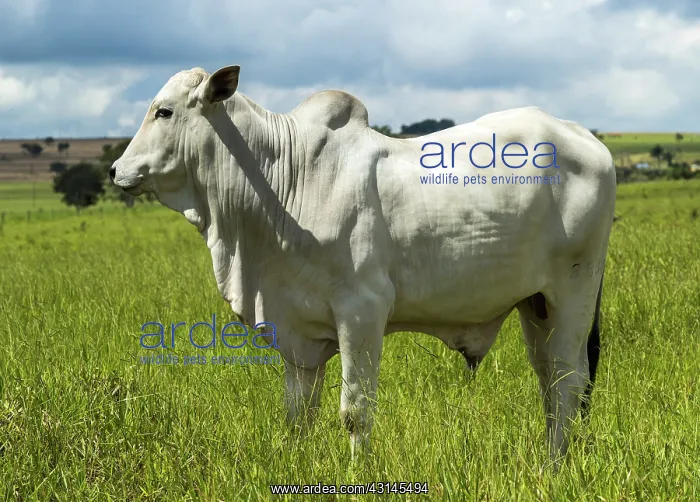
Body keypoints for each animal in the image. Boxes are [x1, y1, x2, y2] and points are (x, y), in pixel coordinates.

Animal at [111, 65, 616, 462]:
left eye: (163, 111)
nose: (116, 170)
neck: (285, 181)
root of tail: (585, 138)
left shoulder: (362, 311)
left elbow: (355, 411)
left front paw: (357, 470)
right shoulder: (296, 330)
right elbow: (298, 414)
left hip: (573, 290)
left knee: (569, 384)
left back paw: (553, 467)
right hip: (536, 304)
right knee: (551, 381)